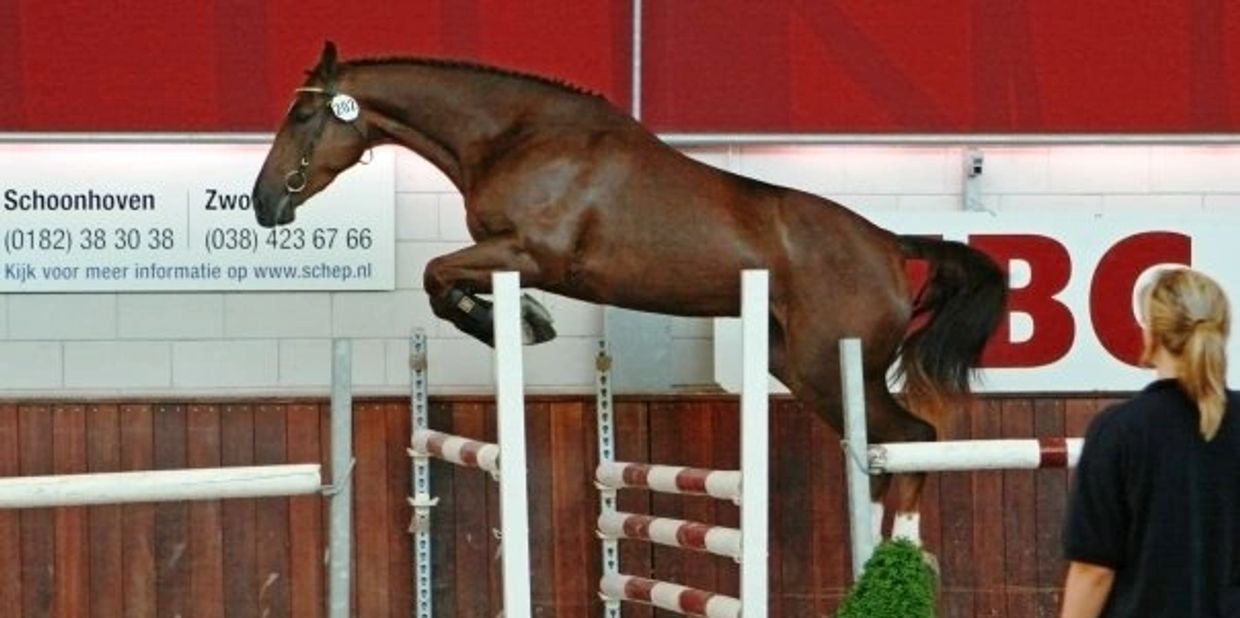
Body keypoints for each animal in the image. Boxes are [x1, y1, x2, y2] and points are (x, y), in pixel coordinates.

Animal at [251, 42, 1006, 543]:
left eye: (301, 121)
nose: (263, 204)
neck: (515, 136)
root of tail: (891, 242)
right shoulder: (512, 255)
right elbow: (440, 280)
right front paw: (519, 319)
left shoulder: (530, 254)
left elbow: (439, 275)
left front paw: (521, 323)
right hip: (797, 365)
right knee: (882, 448)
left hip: (830, 364)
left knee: (912, 439)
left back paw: (901, 551)